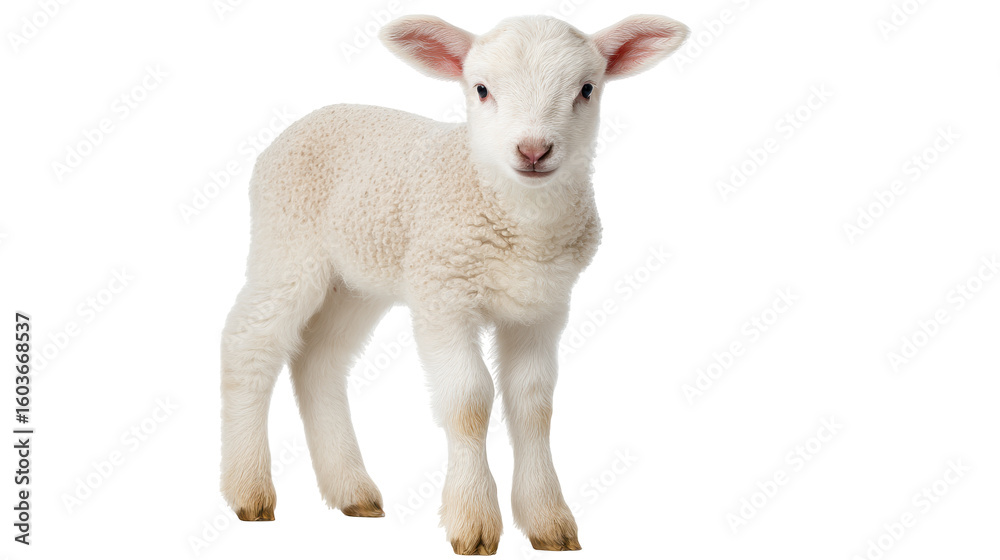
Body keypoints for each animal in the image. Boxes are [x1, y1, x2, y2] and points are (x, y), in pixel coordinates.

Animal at [220, 13, 688, 555]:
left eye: (587, 89)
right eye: (481, 89)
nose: (533, 150)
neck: (520, 225)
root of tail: (308, 120)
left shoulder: (542, 307)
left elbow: (534, 406)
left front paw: (548, 521)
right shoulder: (443, 294)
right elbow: (469, 402)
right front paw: (474, 522)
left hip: (356, 279)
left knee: (319, 362)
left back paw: (352, 491)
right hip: (287, 245)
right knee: (249, 344)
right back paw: (249, 491)